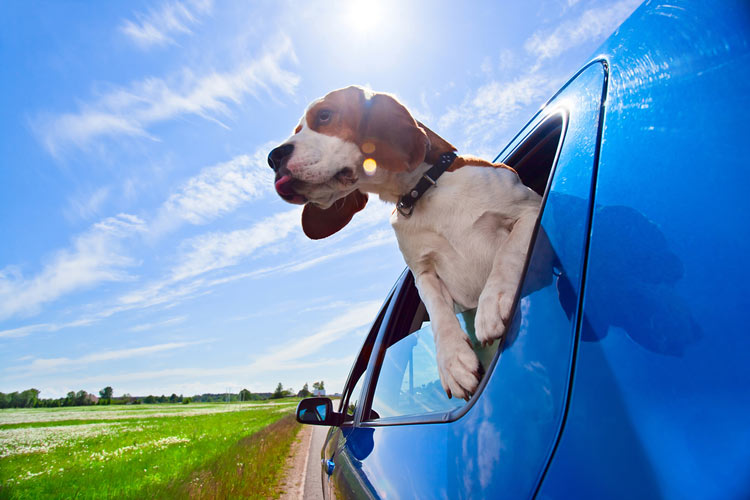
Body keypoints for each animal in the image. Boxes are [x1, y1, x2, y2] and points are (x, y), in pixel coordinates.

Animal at [270, 85, 540, 398]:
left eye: (325, 115)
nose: (273, 158)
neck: (425, 190)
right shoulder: (423, 272)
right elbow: (438, 311)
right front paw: (453, 361)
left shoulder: (531, 209)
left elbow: (509, 252)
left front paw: (493, 301)